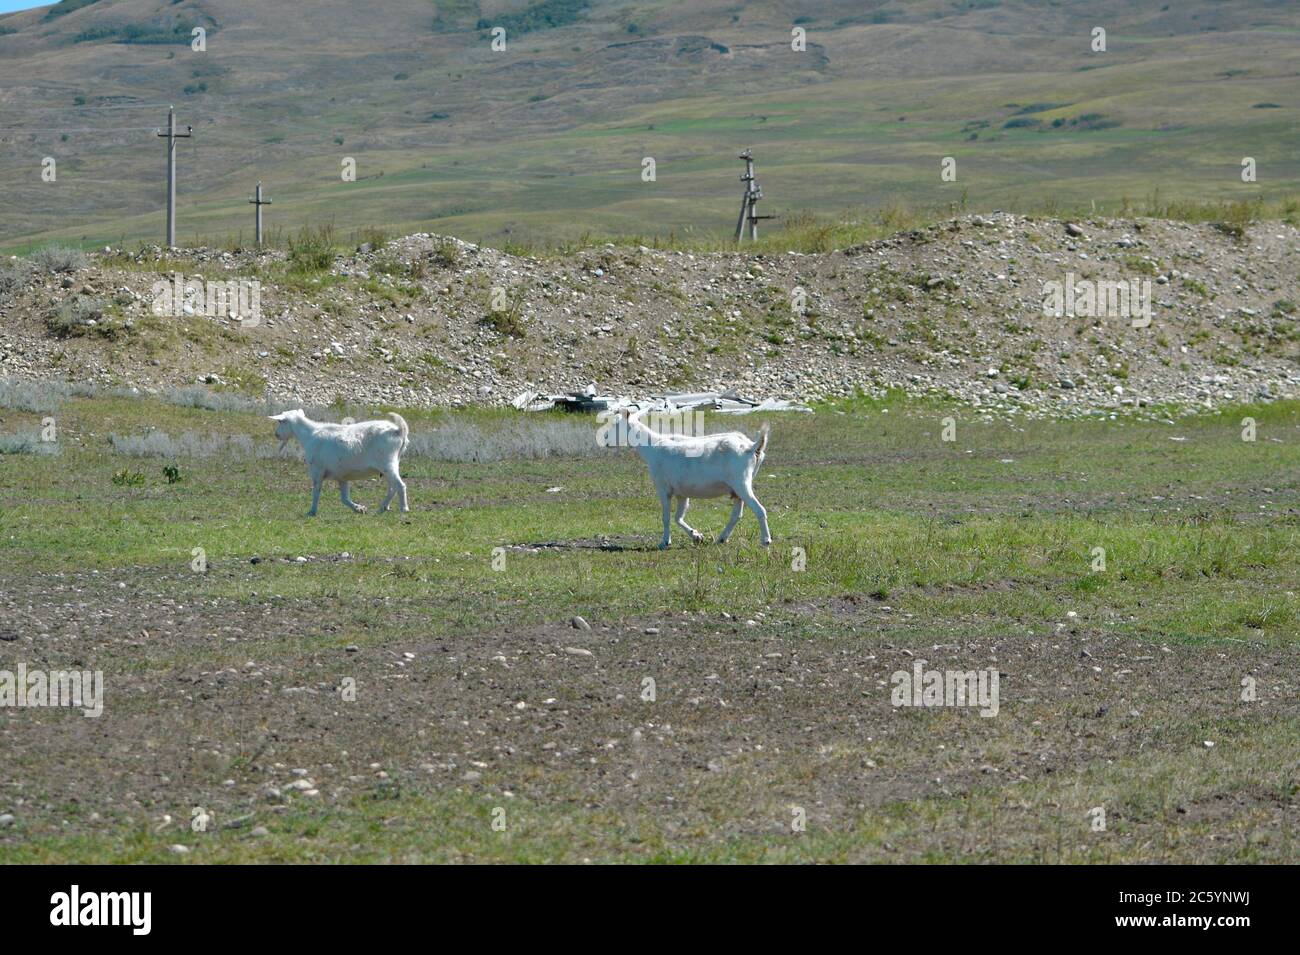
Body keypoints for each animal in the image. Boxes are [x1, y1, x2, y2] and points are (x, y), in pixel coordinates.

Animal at [269, 409, 409, 516]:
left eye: (280, 421)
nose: (276, 434)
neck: (309, 435)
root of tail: (398, 430)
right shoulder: (342, 476)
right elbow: (344, 499)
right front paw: (359, 509)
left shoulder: (317, 471)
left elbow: (316, 492)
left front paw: (312, 512)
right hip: (390, 464)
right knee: (392, 487)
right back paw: (383, 507)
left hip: (388, 463)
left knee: (400, 485)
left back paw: (404, 508)